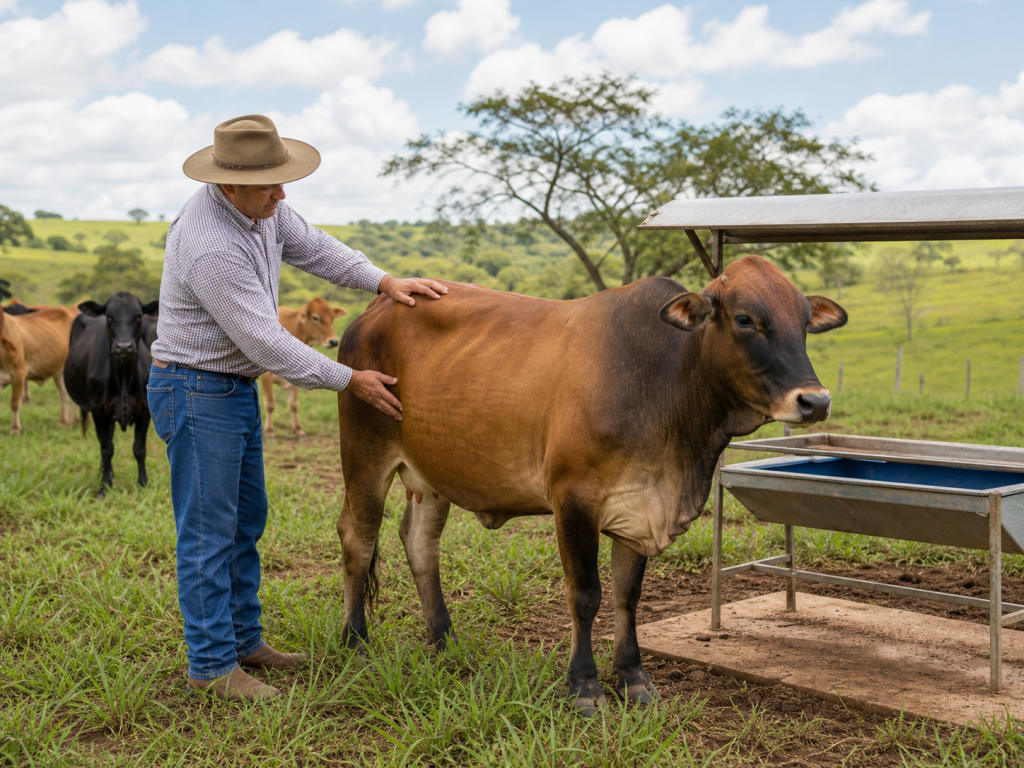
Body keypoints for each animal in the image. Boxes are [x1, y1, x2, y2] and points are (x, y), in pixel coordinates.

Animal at [0, 304, 81, 434]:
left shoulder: (19, 374)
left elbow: (15, 403)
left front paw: (15, 429)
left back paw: (74, 421)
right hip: (60, 373)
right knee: (64, 394)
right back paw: (63, 422)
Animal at [64, 292, 159, 496]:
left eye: (138, 316)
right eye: (109, 317)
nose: (123, 347)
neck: (123, 376)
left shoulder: (145, 409)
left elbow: (139, 449)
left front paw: (143, 483)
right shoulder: (98, 409)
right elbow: (107, 448)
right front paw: (104, 486)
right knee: (105, 442)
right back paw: (105, 472)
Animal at [260, 297, 347, 439]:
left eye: (332, 317)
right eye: (315, 318)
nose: (333, 341)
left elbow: (294, 404)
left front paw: (298, 431)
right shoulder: (266, 377)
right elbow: (270, 404)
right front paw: (269, 432)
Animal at [335, 255, 847, 715]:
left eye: (804, 321)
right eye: (744, 319)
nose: (815, 401)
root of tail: (375, 309)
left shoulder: (640, 505)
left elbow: (627, 596)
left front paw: (634, 680)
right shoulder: (573, 499)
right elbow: (585, 595)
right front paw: (584, 686)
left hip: (430, 474)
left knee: (420, 543)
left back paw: (445, 641)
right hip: (365, 451)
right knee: (359, 538)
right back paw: (355, 644)